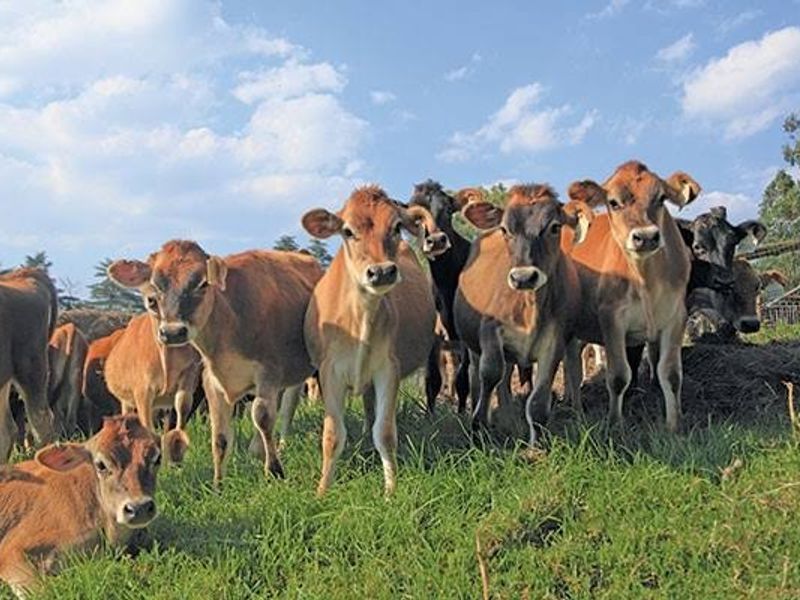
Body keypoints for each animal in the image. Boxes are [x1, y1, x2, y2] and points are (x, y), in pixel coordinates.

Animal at [301, 185, 440, 495]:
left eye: (396, 227)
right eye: (348, 231)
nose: (382, 271)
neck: (359, 319)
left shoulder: (388, 369)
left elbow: (385, 433)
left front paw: (391, 490)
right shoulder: (329, 372)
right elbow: (332, 435)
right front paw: (322, 491)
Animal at [407, 180, 474, 414]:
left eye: (447, 209)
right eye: (417, 219)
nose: (436, 240)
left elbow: (463, 380)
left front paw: (462, 414)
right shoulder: (434, 336)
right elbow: (432, 380)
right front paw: (429, 415)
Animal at [453, 184, 593, 444]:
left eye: (554, 227)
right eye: (504, 229)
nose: (523, 277)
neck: (530, 308)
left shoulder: (555, 342)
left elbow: (538, 399)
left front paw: (536, 444)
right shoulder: (489, 330)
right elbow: (490, 374)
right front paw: (478, 426)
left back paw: (509, 418)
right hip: (473, 345)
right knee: (479, 378)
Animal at [565, 161, 701, 433]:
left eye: (660, 198)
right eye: (613, 202)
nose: (646, 236)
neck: (646, 279)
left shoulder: (676, 317)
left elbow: (670, 374)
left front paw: (674, 425)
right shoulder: (611, 317)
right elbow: (618, 376)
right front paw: (615, 424)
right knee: (570, 367)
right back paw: (574, 410)